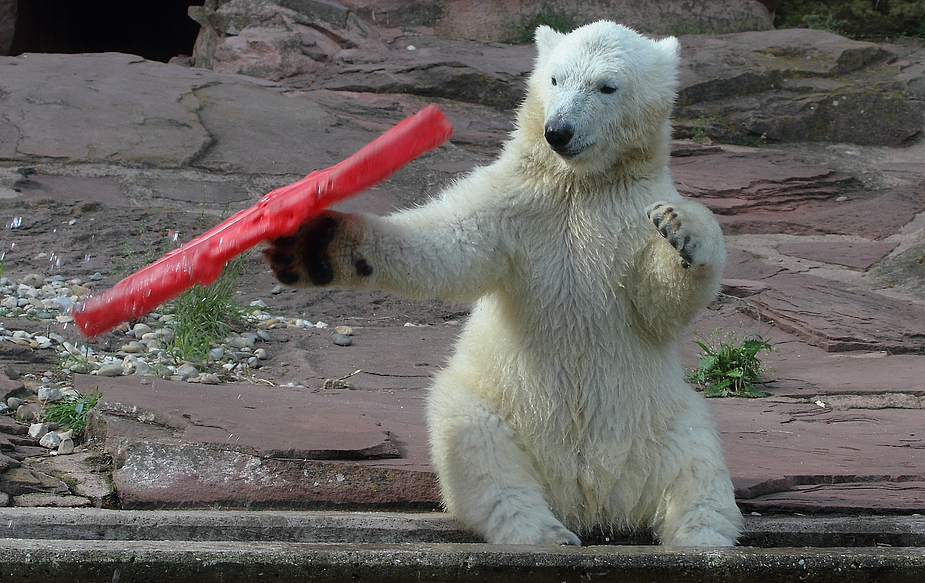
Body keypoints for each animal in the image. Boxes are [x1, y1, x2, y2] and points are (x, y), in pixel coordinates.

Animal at [264, 19, 740, 548]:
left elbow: (656, 302)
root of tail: (590, 498)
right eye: (555, 78)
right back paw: (544, 531)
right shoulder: (516, 201)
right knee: (476, 443)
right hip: (499, 404)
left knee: (697, 468)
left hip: (662, 422)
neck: (581, 183)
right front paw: (320, 244)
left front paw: (681, 227)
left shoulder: (627, 213)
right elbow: (451, 243)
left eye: (607, 86)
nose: (558, 131)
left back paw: (699, 539)